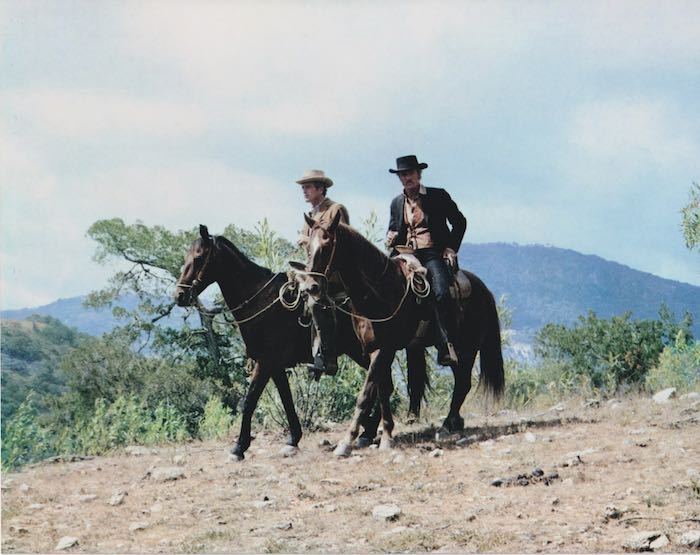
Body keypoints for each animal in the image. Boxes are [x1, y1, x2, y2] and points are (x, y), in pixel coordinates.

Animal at [298, 213, 506, 456]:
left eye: (327, 244)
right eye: (307, 247)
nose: (310, 287)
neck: (379, 291)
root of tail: (483, 289)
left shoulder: (384, 349)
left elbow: (366, 394)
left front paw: (348, 441)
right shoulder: (374, 350)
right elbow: (382, 390)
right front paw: (383, 434)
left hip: (467, 348)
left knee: (463, 383)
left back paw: (446, 425)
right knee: (461, 383)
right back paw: (453, 423)